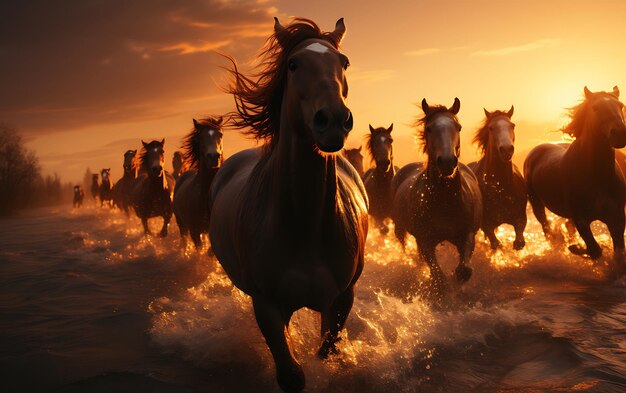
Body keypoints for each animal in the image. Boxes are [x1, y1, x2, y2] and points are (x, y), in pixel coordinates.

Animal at [207, 16, 368, 390]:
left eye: (344, 63)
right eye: (293, 64)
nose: (334, 119)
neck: (303, 225)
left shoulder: (341, 299)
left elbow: (326, 353)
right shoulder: (266, 304)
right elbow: (291, 376)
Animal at [390, 97, 482, 294]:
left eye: (458, 127)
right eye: (429, 128)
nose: (447, 162)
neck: (445, 201)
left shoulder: (467, 234)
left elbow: (464, 270)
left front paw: (457, 283)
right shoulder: (425, 240)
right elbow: (438, 277)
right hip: (400, 230)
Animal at [466, 105, 524, 250]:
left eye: (513, 125)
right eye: (491, 128)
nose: (507, 150)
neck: (501, 187)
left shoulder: (521, 217)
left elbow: (519, 242)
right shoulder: (486, 225)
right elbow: (496, 243)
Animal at [520, 86, 624, 268]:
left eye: (621, 106)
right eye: (595, 108)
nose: (619, 134)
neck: (597, 176)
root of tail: (535, 150)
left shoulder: (616, 219)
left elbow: (617, 252)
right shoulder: (581, 220)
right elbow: (596, 250)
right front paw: (575, 248)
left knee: (566, 226)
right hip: (536, 204)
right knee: (547, 229)